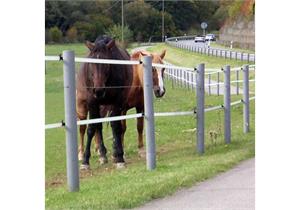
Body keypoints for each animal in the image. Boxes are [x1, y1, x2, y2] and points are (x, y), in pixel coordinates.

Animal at [76, 34, 132, 169]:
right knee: (90, 127)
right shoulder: (92, 102)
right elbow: (91, 128)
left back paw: (111, 153)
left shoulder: (117, 102)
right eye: (91, 64)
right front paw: (85, 161)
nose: (99, 90)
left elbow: (115, 126)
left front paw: (119, 157)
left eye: (106, 64)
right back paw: (95, 154)